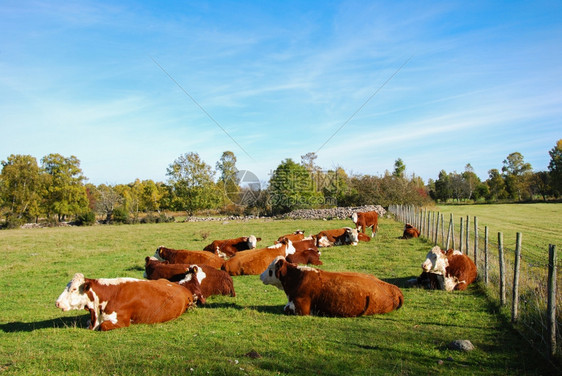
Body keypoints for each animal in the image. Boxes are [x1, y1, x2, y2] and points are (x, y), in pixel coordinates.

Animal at [260, 256, 400, 318]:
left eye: (270, 269)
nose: (260, 276)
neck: (296, 277)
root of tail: (394, 288)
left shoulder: (302, 309)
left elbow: (286, 309)